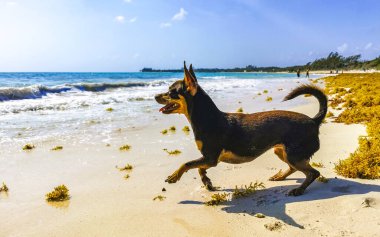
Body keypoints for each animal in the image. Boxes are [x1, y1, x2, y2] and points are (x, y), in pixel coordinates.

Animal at [156, 62, 328, 195]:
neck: (207, 118)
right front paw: (207, 181)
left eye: (170, 92)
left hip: (293, 154)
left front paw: (174, 176)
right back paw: (280, 177)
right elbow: (199, 168)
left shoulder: (210, 158)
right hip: (282, 151)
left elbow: (187, 163)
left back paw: (299, 190)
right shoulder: (209, 159)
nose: (155, 96)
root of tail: (314, 120)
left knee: (313, 172)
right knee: (294, 168)